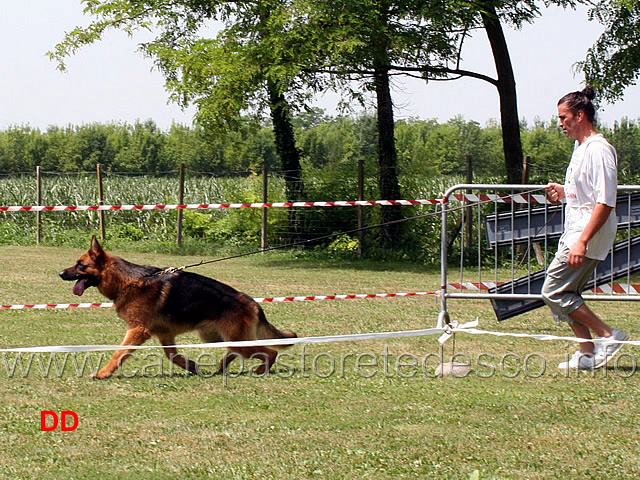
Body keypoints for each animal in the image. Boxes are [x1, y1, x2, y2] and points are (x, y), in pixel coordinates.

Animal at [60, 236, 298, 378]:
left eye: (80, 265)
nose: (60, 273)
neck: (128, 281)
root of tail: (253, 302)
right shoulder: (165, 335)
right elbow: (172, 357)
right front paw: (191, 366)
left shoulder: (137, 331)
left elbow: (118, 353)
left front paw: (103, 373)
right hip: (216, 338)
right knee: (236, 351)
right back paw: (223, 366)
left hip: (235, 340)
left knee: (268, 351)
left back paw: (260, 369)